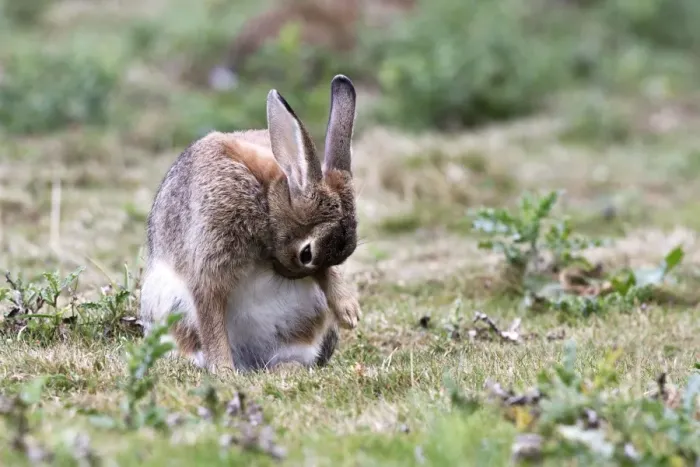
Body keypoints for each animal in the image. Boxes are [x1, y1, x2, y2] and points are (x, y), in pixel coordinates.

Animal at [139, 75, 361, 373]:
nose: (287, 275)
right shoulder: (208, 260)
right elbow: (211, 316)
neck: (265, 196)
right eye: (306, 254)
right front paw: (223, 371)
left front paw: (349, 311)